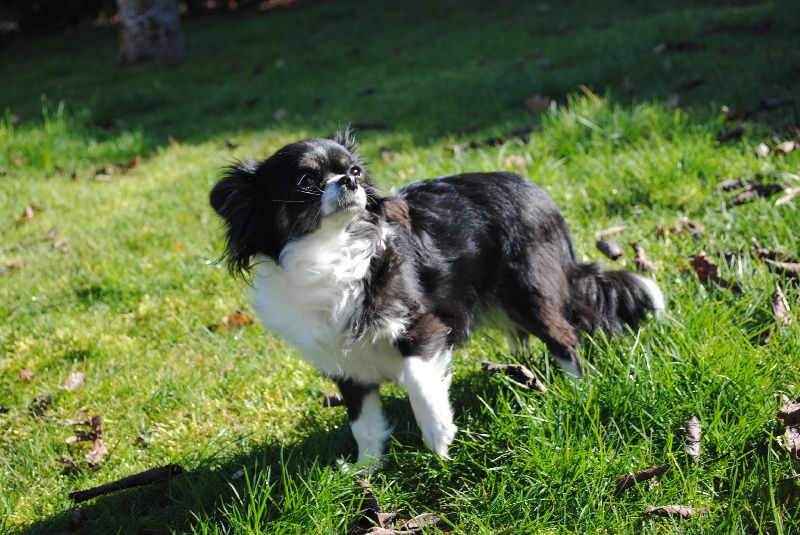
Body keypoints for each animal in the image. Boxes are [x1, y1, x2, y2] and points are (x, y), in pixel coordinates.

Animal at [209, 131, 664, 468]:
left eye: (354, 171)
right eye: (306, 183)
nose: (351, 182)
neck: (329, 253)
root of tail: (536, 190)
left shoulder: (421, 327)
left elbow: (417, 379)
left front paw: (439, 436)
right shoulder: (346, 363)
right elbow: (363, 423)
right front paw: (366, 470)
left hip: (529, 293)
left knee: (564, 337)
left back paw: (577, 390)